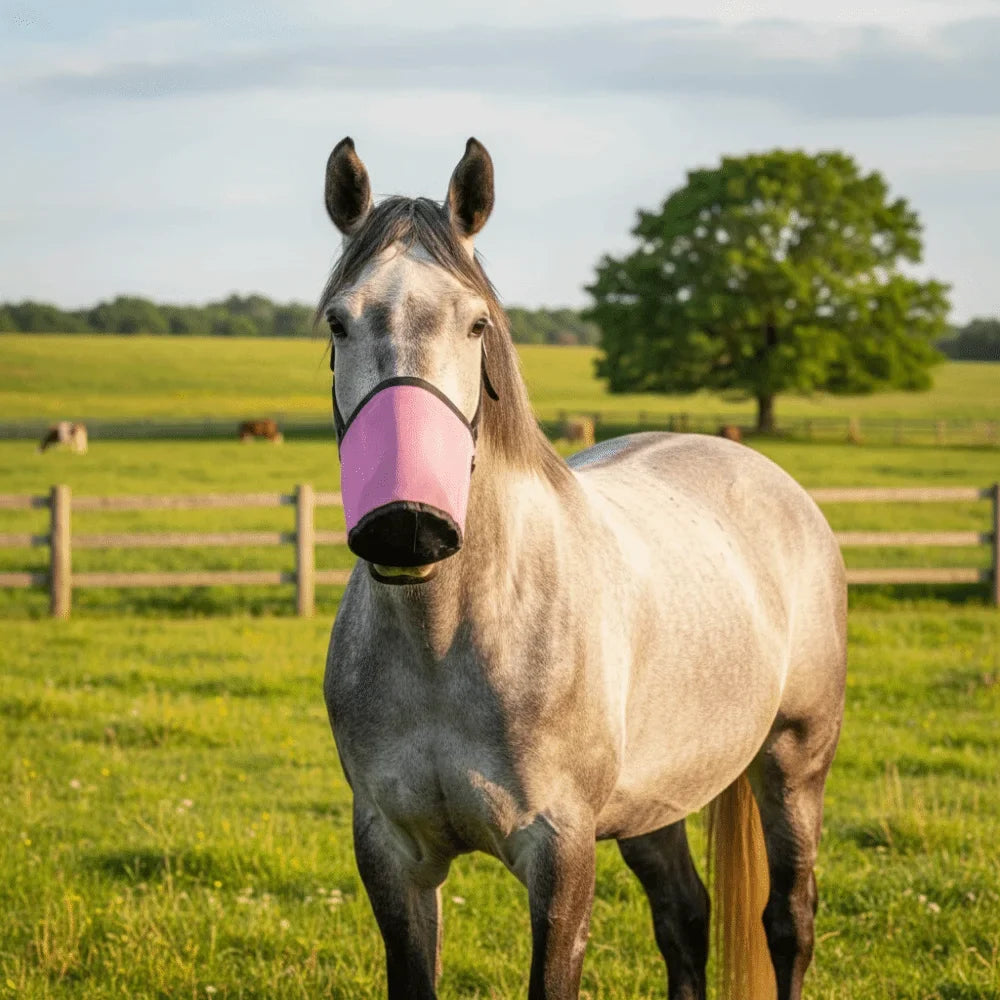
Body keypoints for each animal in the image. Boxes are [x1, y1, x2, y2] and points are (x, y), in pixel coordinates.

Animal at [320, 137, 846, 1000]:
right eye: (338, 319)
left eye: (476, 323)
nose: (406, 526)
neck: (447, 642)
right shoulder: (391, 854)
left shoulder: (561, 852)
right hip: (656, 802)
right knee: (685, 918)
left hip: (795, 762)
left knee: (788, 922)